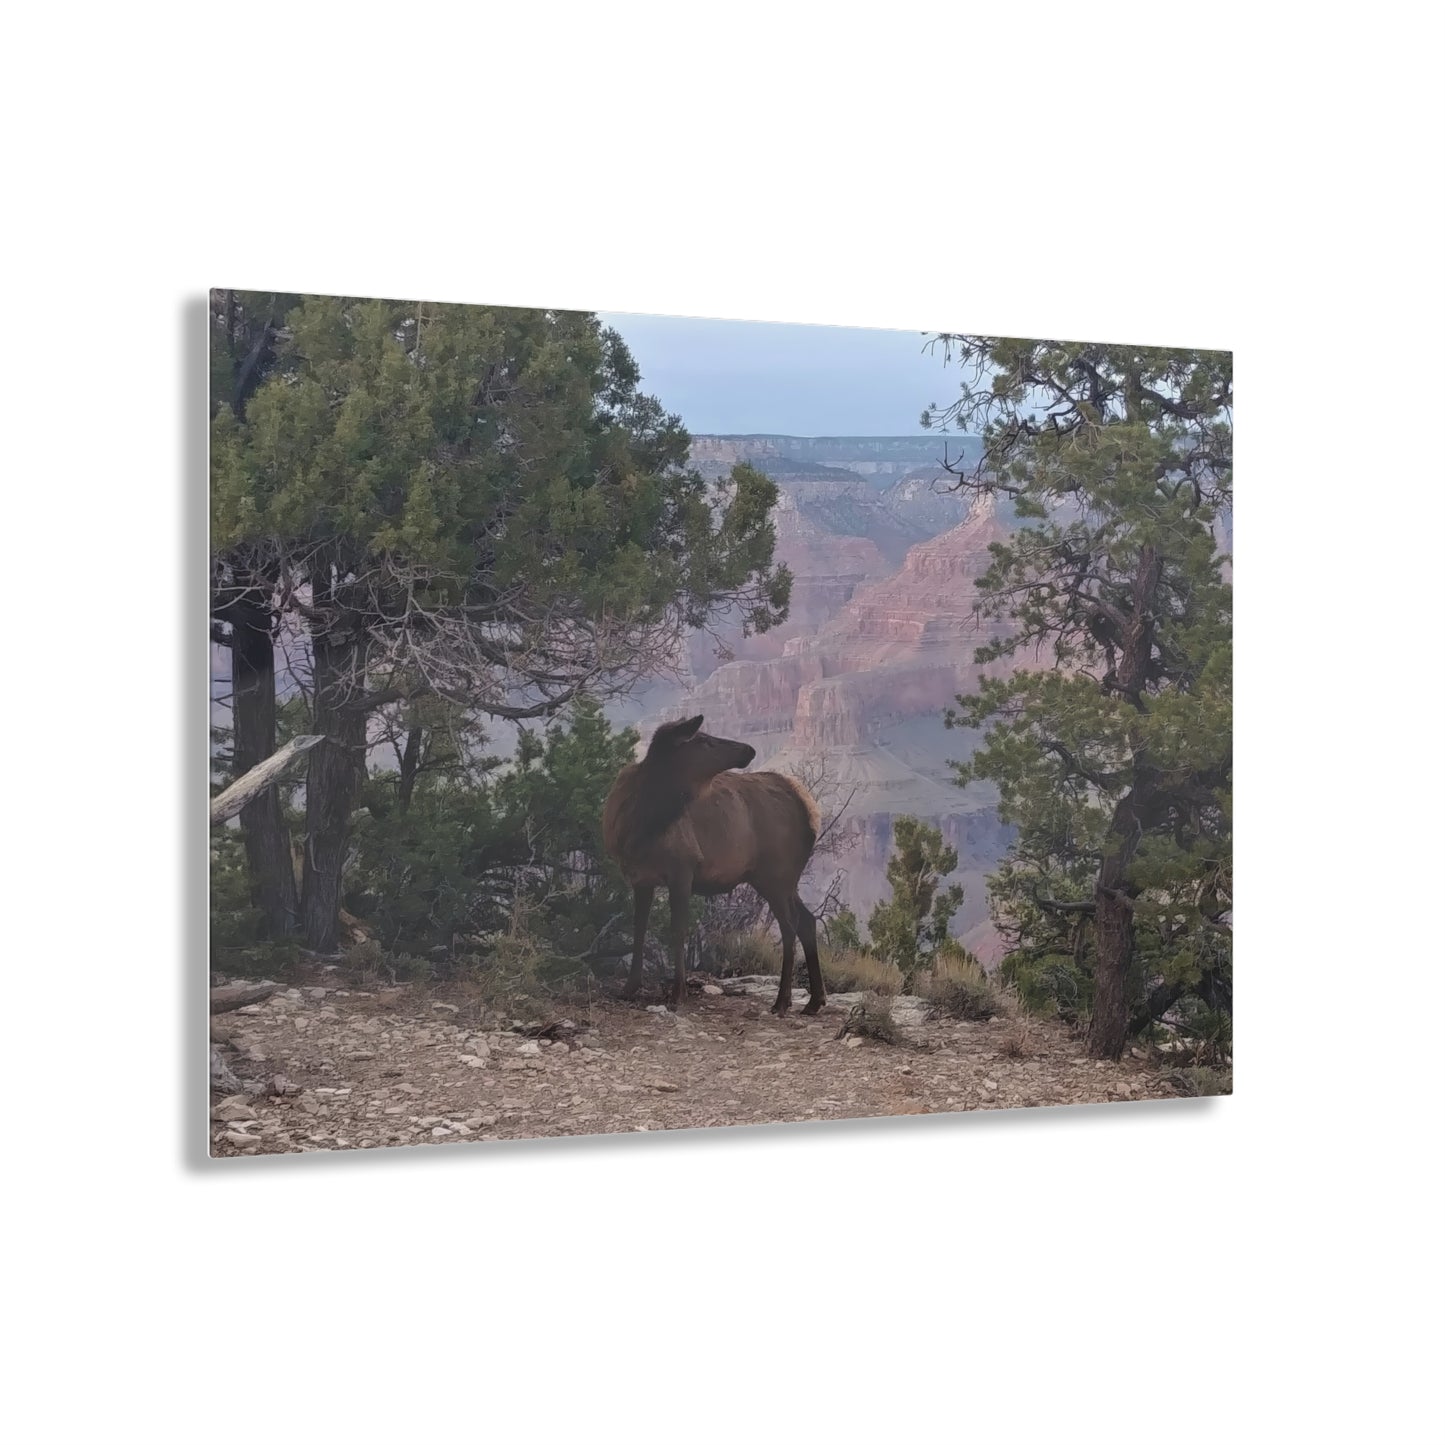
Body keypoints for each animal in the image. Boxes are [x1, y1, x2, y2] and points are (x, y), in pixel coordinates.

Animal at [601, 713, 826, 1017]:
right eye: (704, 741)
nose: (749, 749)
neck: (638, 827)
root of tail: (811, 812)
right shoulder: (639, 877)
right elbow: (638, 928)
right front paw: (629, 987)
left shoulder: (682, 868)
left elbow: (678, 930)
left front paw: (678, 993)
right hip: (782, 878)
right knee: (807, 920)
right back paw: (814, 1001)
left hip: (776, 874)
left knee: (789, 927)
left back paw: (782, 1001)